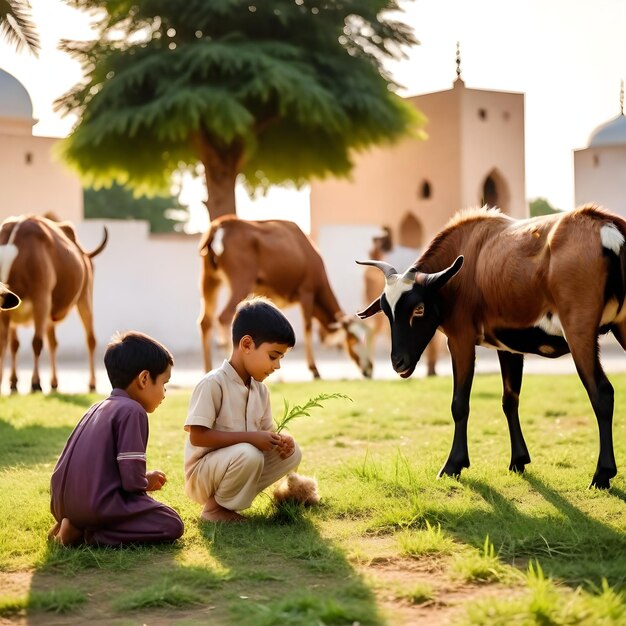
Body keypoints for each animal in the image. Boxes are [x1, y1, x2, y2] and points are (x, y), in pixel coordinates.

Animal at [0, 214, 108, 390]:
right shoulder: (7, 312)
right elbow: (7, 344)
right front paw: (10, 381)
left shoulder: (41, 298)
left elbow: (36, 343)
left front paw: (35, 383)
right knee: (51, 343)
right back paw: (53, 382)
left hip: (84, 298)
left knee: (90, 340)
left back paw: (92, 383)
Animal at [199, 214, 370, 378]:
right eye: (353, 339)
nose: (369, 369)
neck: (305, 249)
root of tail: (219, 226)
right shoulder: (307, 292)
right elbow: (307, 326)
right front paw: (314, 369)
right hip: (241, 282)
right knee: (224, 317)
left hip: (210, 282)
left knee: (205, 322)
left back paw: (208, 369)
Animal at [358, 205, 624, 488]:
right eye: (387, 311)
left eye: (418, 309)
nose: (398, 362)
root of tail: (606, 228)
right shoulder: (508, 347)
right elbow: (510, 400)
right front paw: (518, 460)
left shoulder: (460, 339)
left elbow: (459, 403)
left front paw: (453, 465)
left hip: (579, 332)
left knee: (602, 393)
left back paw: (602, 474)